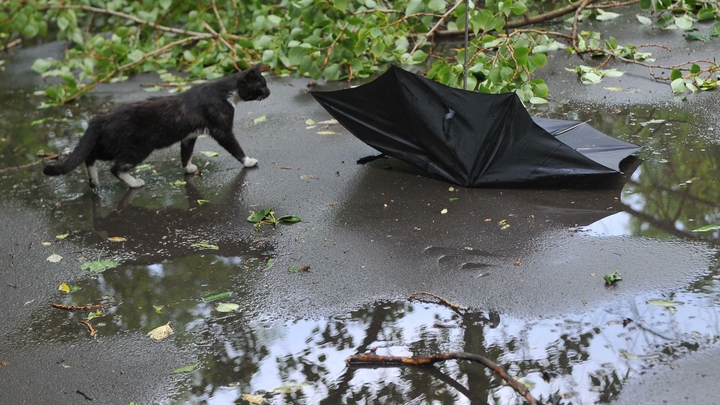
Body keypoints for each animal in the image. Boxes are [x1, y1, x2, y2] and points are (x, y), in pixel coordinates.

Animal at [43, 62, 272, 188]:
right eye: (262, 84)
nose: (270, 92)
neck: (226, 92)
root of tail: (102, 116)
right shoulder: (221, 128)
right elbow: (234, 146)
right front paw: (248, 161)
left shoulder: (189, 135)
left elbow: (186, 153)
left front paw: (188, 168)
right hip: (138, 147)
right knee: (115, 167)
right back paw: (134, 183)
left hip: (111, 144)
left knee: (90, 155)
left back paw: (93, 181)